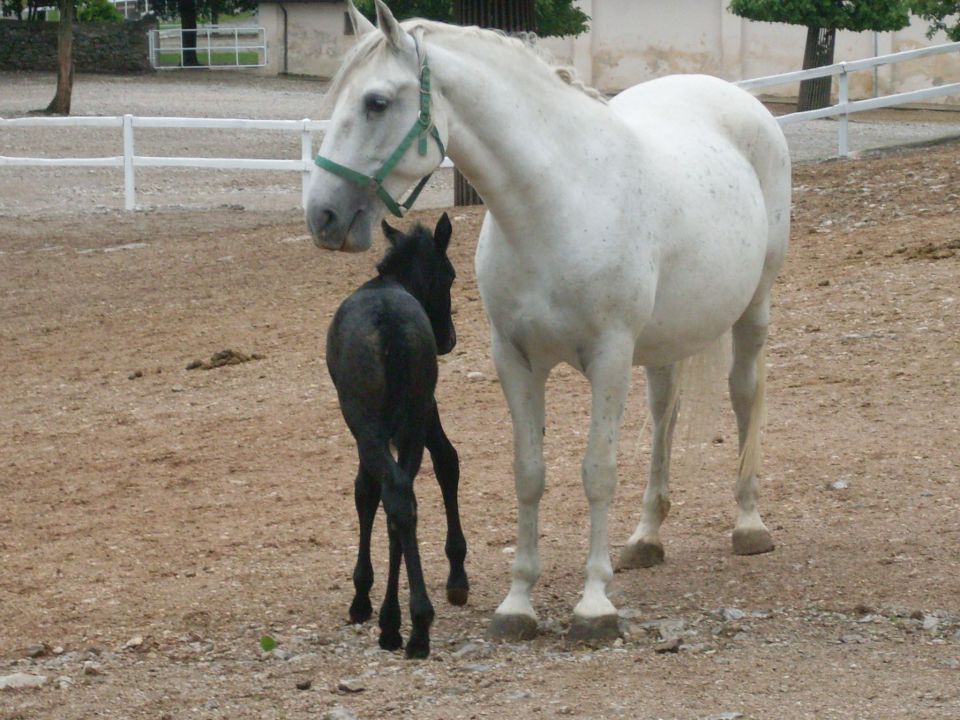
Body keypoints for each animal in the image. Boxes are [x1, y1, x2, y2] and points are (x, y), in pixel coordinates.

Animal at [326, 214, 468, 660]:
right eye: (451, 275)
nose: (448, 339)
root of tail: (389, 323)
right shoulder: (421, 414)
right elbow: (445, 461)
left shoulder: (364, 429)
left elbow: (364, 492)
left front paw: (362, 595)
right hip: (411, 420)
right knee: (405, 498)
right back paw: (411, 622)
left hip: (369, 424)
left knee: (393, 493)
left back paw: (401, 624)